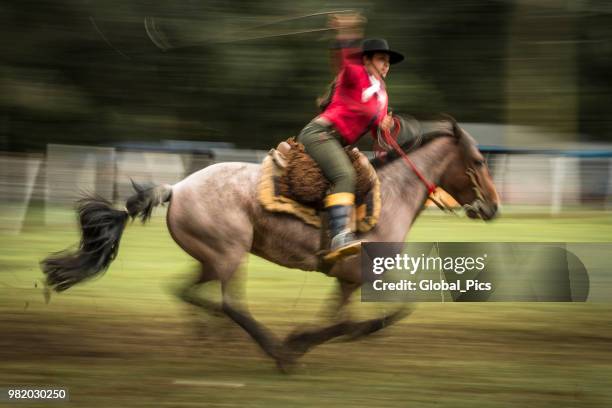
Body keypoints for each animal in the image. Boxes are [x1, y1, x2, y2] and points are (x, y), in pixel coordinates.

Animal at [44, 114, 502, 370]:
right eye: (480, 160)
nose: (494, 206)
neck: (390, 195)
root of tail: (177, 187)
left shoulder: (349, 281)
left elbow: (347, 318)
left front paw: (310, 337)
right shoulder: (365, 276)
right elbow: (374, 317)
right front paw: (297, 343)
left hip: (210, 258)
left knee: (188, 292)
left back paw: (212, 337)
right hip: (229, 255)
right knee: (231, 304)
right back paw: (273, 350)